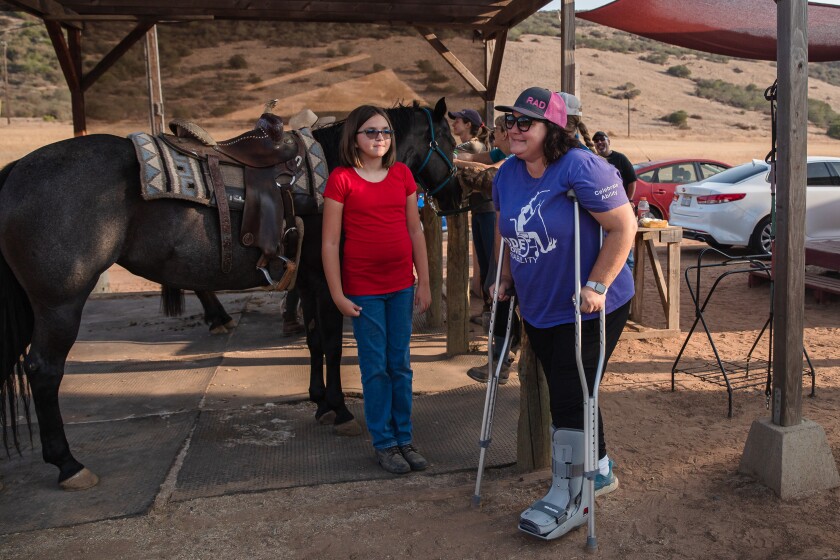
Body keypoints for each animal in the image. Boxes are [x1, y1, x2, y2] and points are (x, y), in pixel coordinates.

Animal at [0, 97, 460, 490]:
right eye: (450, 143)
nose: (458, 195)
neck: (335, 166)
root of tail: (17, 167)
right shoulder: (330, 283)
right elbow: (330, 341)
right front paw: (340, 409)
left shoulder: (308, 281)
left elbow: (313, 340)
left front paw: (319, 403)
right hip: (60, 302)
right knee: (44, 370)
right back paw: (67, 464)